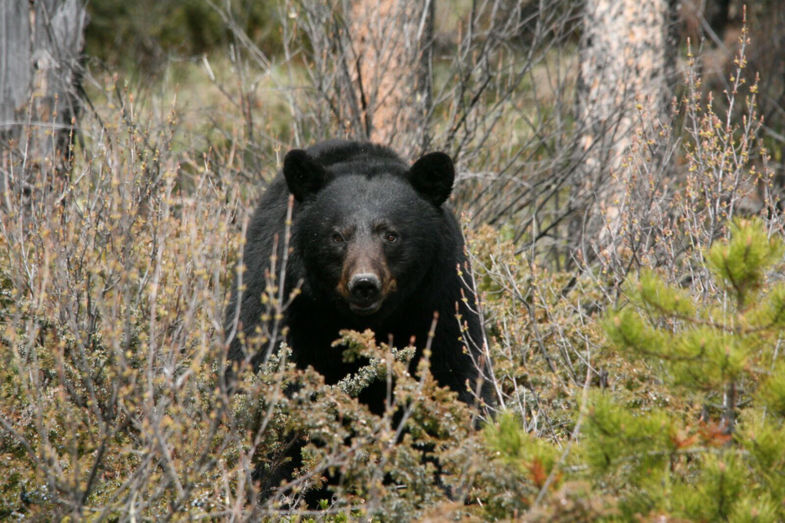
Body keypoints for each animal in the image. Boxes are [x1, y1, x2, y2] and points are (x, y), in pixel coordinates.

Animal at [225, 139, 494, 413]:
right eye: (337, 236)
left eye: (390, 235)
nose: (364, 284)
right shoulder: (282, 298)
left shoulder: (440, 299)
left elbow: (457, 371)